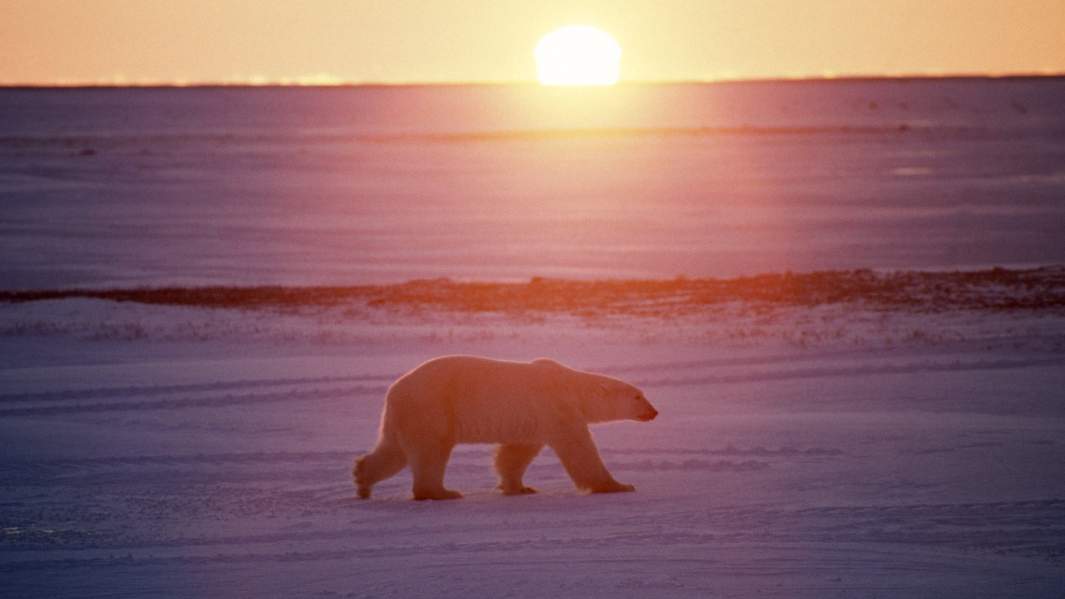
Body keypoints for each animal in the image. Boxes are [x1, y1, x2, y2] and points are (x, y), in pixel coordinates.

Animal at [353, 355, 658, 500]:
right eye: (638, 396)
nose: (654, 412)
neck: (571, 386)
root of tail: (394, 390)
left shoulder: (534, 419)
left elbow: (515, 453)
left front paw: (520, 487)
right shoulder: (556, 407)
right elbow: (579, 449)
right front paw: (618, 485)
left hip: (404, 416)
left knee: (393, 451)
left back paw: (362, 481)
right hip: (431, 407)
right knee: (431, 450)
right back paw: (442, 492)